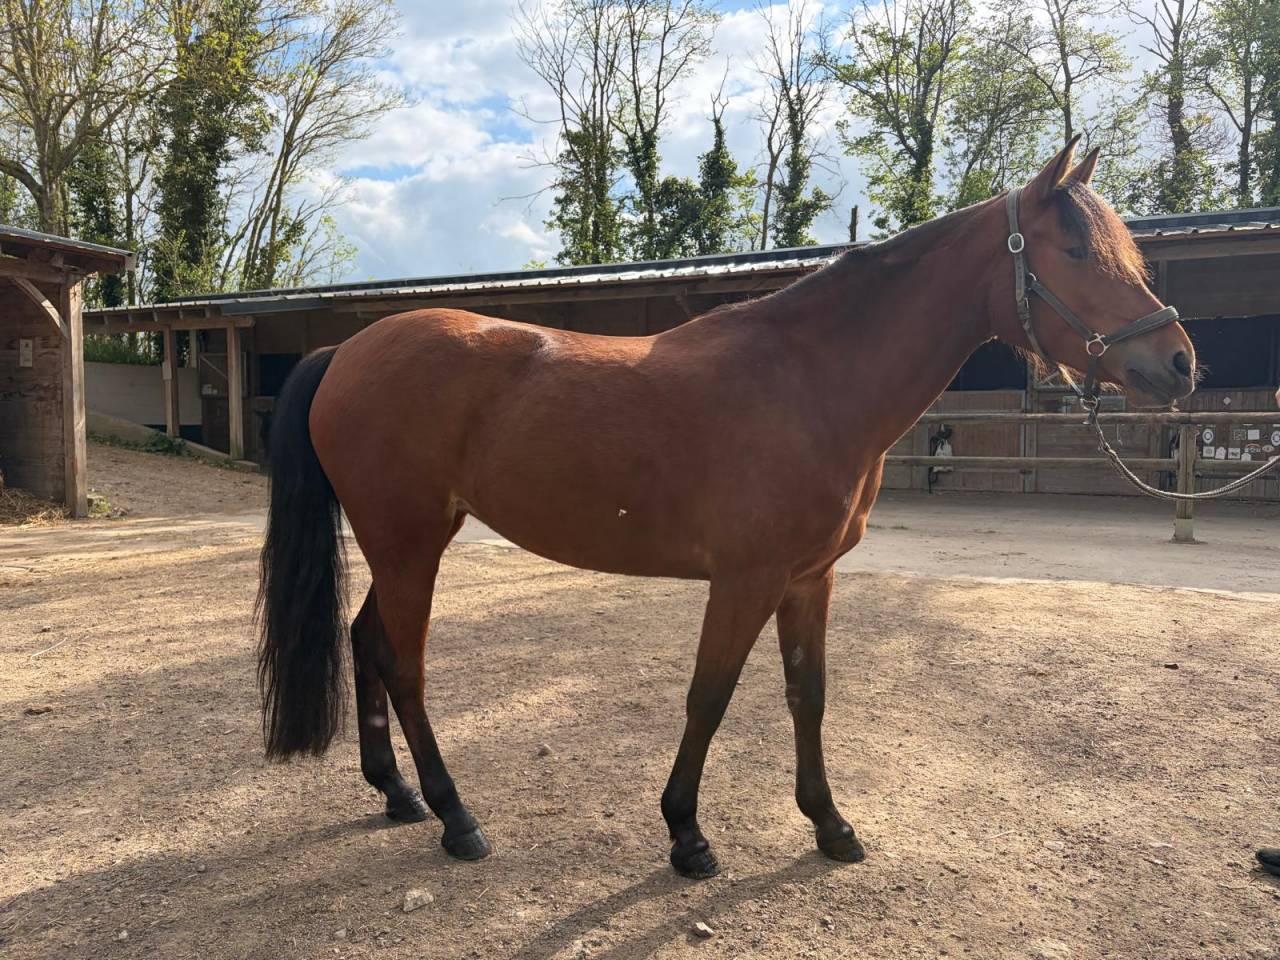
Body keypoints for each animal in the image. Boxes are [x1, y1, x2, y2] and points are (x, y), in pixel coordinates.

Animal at [256, 138, 1196, 879]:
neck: (809, 383)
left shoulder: (809, 580)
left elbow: (807, 694)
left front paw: (830, 825)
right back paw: (457, 818)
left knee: (366, 643)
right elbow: (709, 696)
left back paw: (397, 794)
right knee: (404, 664)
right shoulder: (745, 580)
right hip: (409, 543)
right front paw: (687, 837)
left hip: (406, 544)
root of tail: (346, 350)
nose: (1181, 362)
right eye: (1074, 248)